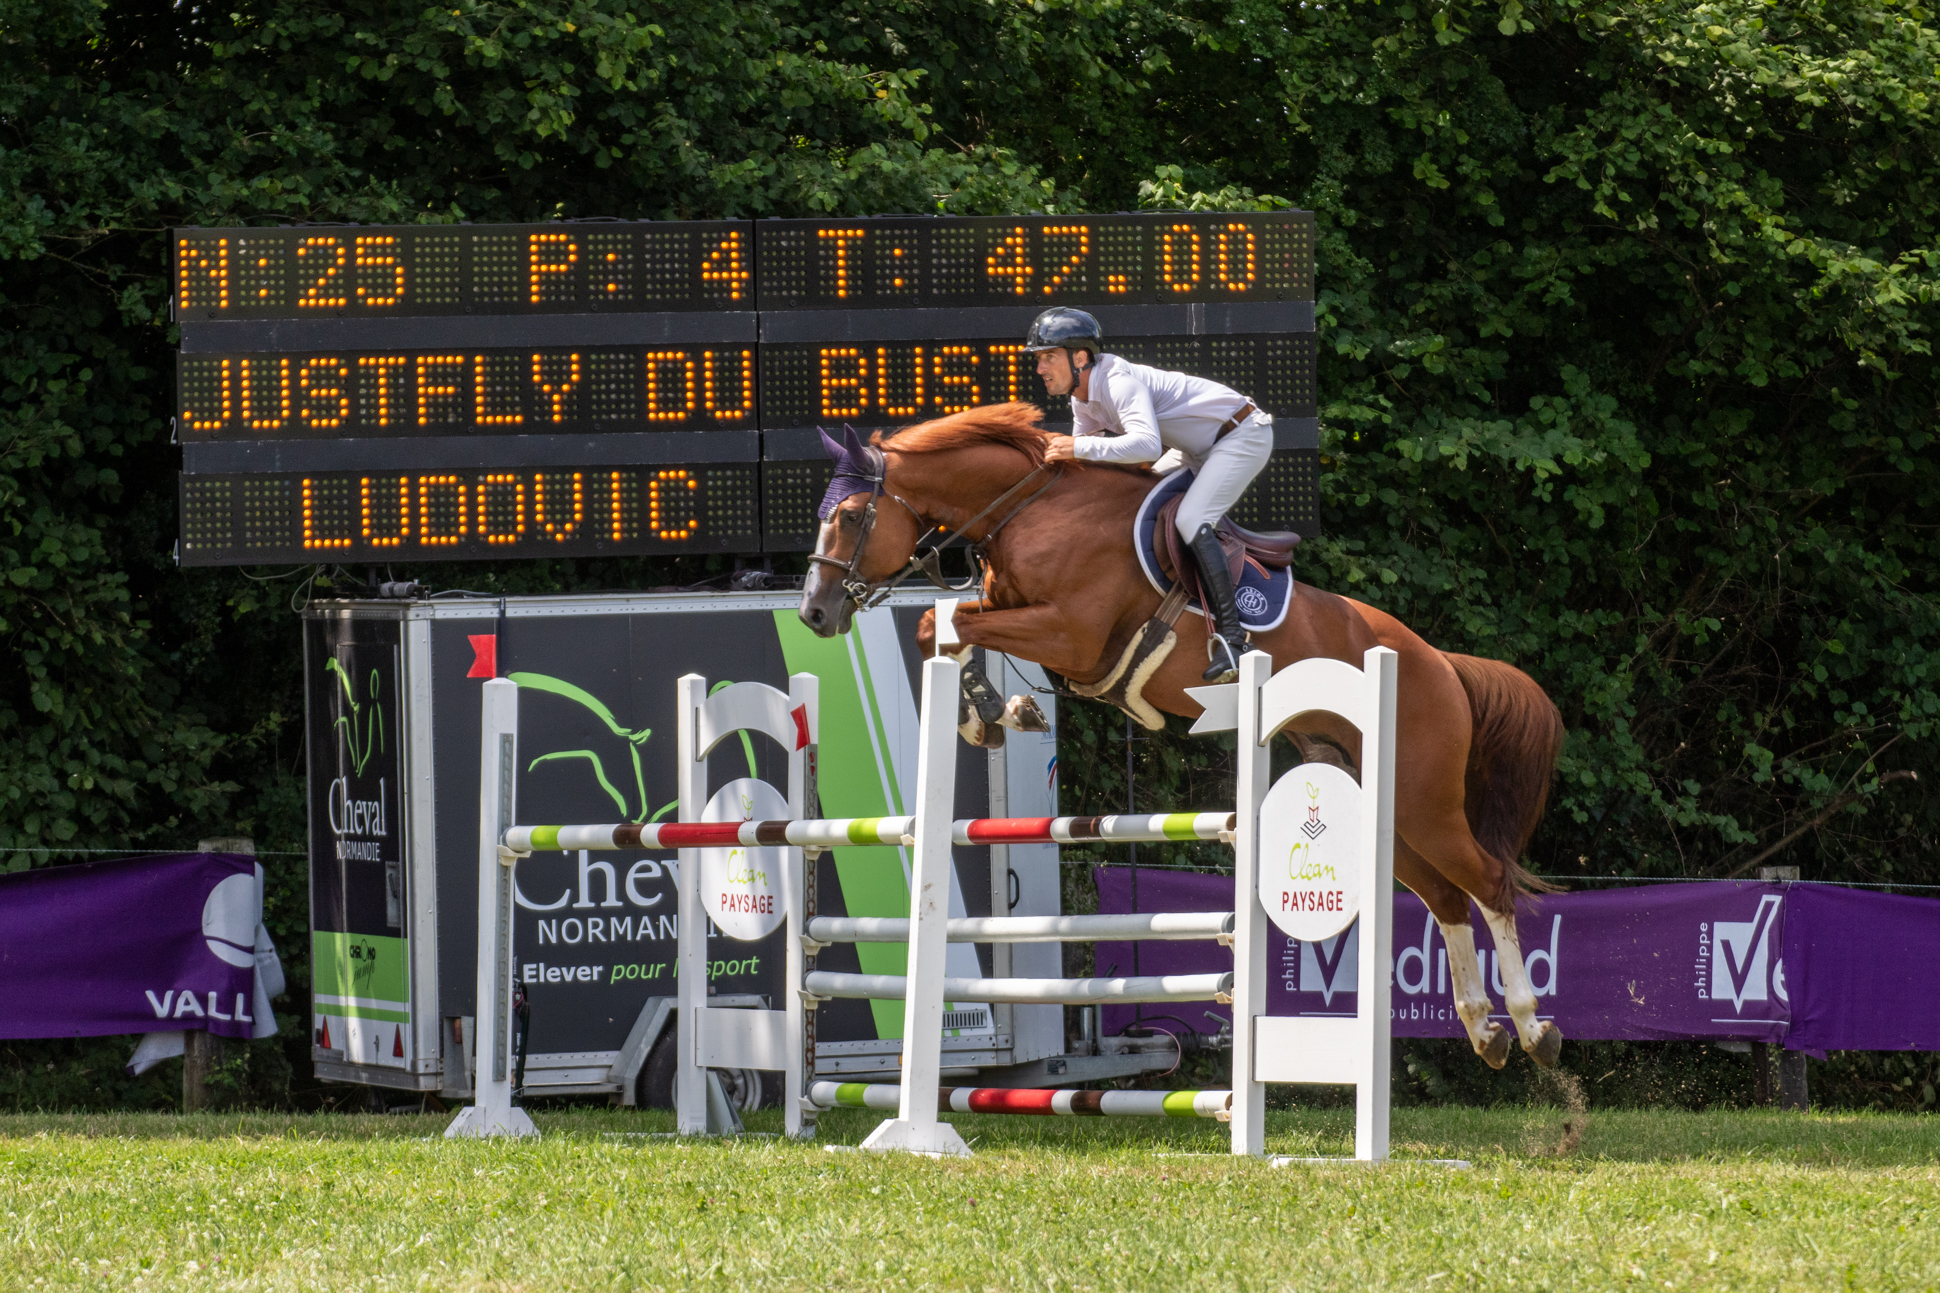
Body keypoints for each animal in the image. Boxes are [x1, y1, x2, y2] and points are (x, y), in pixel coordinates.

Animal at [798, 402, 1568, 1070]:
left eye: (850, 516)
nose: (813, 612)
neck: (1029, 507)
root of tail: (1439, 661)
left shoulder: (1071, 633)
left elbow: (950, 623)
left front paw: (997, 711)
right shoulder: (1022, 614)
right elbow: (944, 626)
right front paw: (995, 713)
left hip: (1423, 799)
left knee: (1486, 881)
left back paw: (1533, 1028)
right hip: (1381, 802)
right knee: (1444, 896)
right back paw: (1484, 1030)